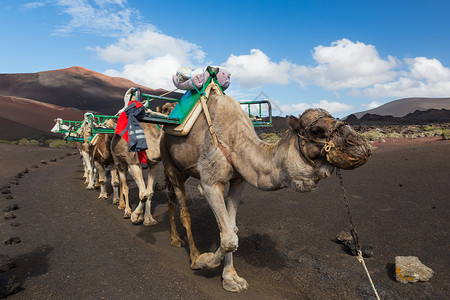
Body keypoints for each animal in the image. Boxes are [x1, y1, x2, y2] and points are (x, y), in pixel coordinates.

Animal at [160, 85, 370, 292]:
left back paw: (176, 239)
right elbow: (228, 238)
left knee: (171, 199)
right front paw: (205, 261)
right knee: (183, 210)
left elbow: (232, 229)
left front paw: (231, 279)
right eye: (316, 130)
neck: (235, 140)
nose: (360, 146)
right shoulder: (210, 183)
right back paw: (192, 255)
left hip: (184, 170)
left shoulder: (239, 181)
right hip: (170, 161)